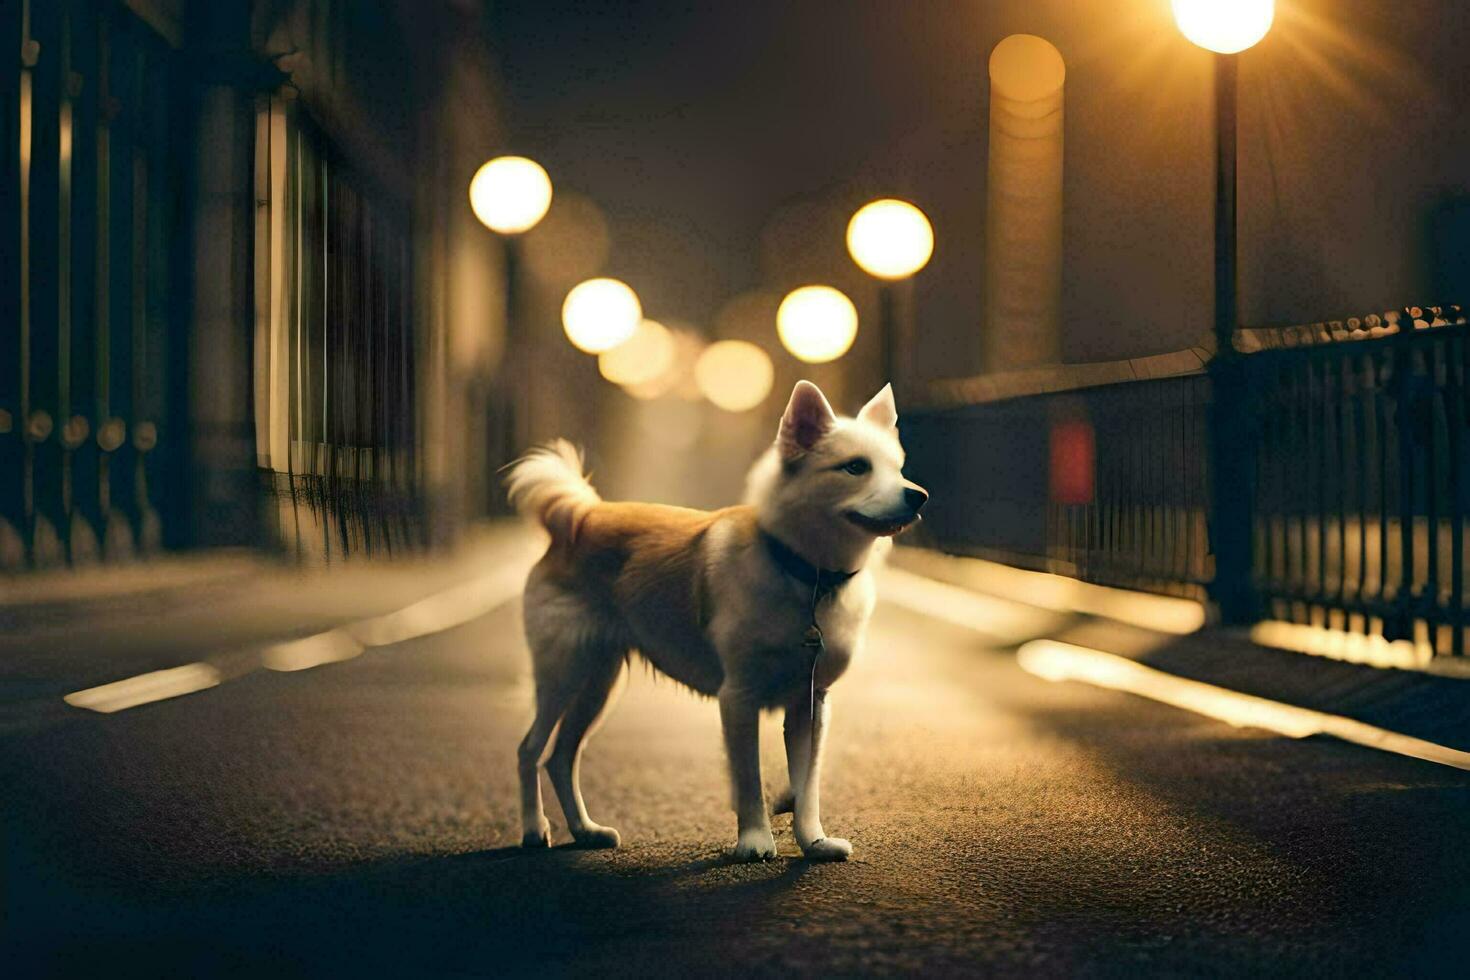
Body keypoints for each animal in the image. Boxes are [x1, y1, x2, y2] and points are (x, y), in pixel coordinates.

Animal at [502, 379, 917, 863]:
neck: (806, 576)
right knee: (529, 750)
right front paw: (754, 840)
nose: (918, 495)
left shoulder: (811, 704)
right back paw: (535, 829)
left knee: (561, 757)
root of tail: (581, 519)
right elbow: (749, 779)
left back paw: (585, 831)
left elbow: (807, 785)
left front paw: (813, 841)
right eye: (855, 467)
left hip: (598, 682)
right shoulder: (738, 697)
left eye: (898, 469)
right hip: (562, 674)